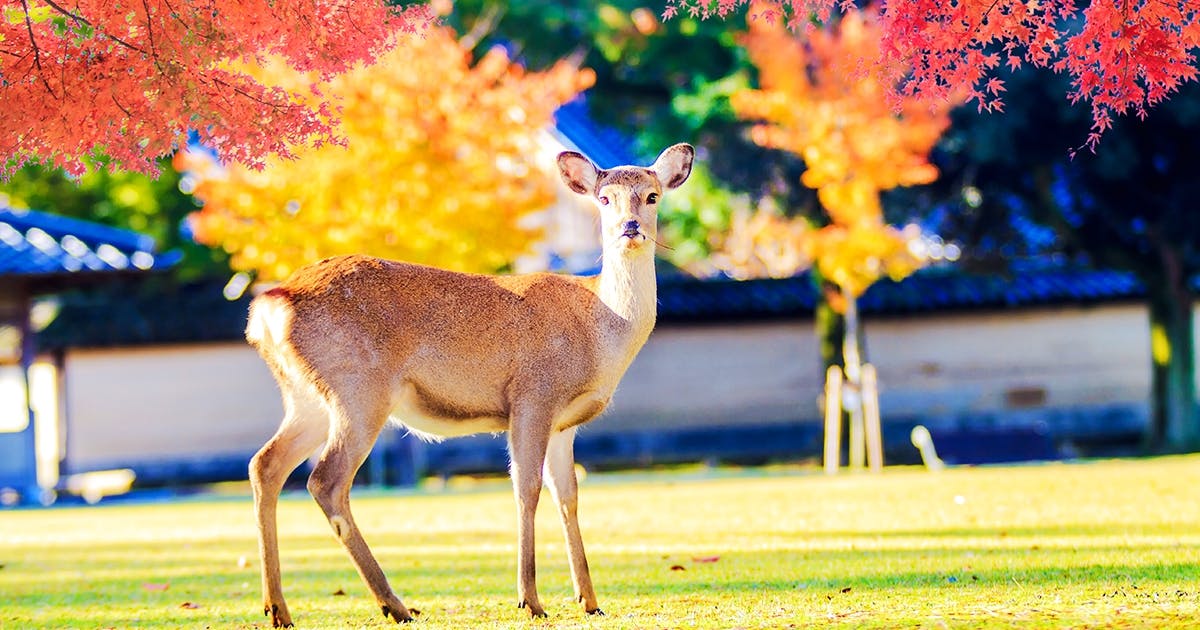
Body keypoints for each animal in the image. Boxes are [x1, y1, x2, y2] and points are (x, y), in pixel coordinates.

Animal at [243, 142, 696, 624]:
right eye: (604, 198)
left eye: (652, 196)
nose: (631, 228)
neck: (600, 330)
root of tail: (269, 308)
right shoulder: (532, 395)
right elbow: (526, 489)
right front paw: (530, 600)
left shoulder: (565, 423)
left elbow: (568, 494)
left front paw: (589, 601)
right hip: (359, 389)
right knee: (325, 480)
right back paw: (394, 605)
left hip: (307, 398)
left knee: (265, 464)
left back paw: (278, 608)